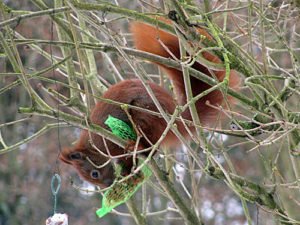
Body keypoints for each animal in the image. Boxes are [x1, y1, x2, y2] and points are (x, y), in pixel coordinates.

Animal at [59, 18, 240, 188]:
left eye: (94, 174)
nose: (108, 185)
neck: (95, 145)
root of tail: (172, 116)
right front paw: (127, 171)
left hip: (144, 113)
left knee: (151, 144)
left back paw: (139, 147)